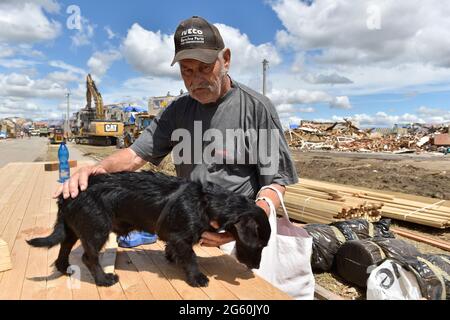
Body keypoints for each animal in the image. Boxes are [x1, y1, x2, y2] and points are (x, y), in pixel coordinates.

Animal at [27, 171, 270, 288]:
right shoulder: (182, 238)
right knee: (89, 257)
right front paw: (197, 278)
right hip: (97, 229)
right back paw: (104, 280)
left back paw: (64, 267)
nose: (257, 267)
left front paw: (172, 258)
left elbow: (177, 251)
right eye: (259, 244)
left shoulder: (176, 239)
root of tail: (66, 195)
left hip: (72, 229)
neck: (205, 201)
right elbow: (191, 257)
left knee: (63, 248)